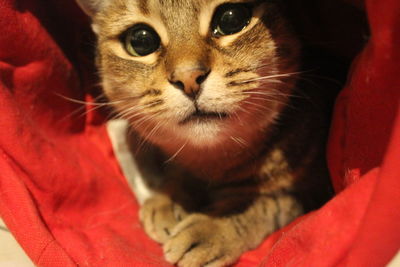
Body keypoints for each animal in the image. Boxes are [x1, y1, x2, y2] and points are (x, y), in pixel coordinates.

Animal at [76, 1, 332, 266]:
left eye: (231, 19)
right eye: (141, 40)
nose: (188, 77)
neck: (212, 162)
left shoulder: (314, 191)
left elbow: (269, 203)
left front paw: (211, 229)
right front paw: (167, 199)